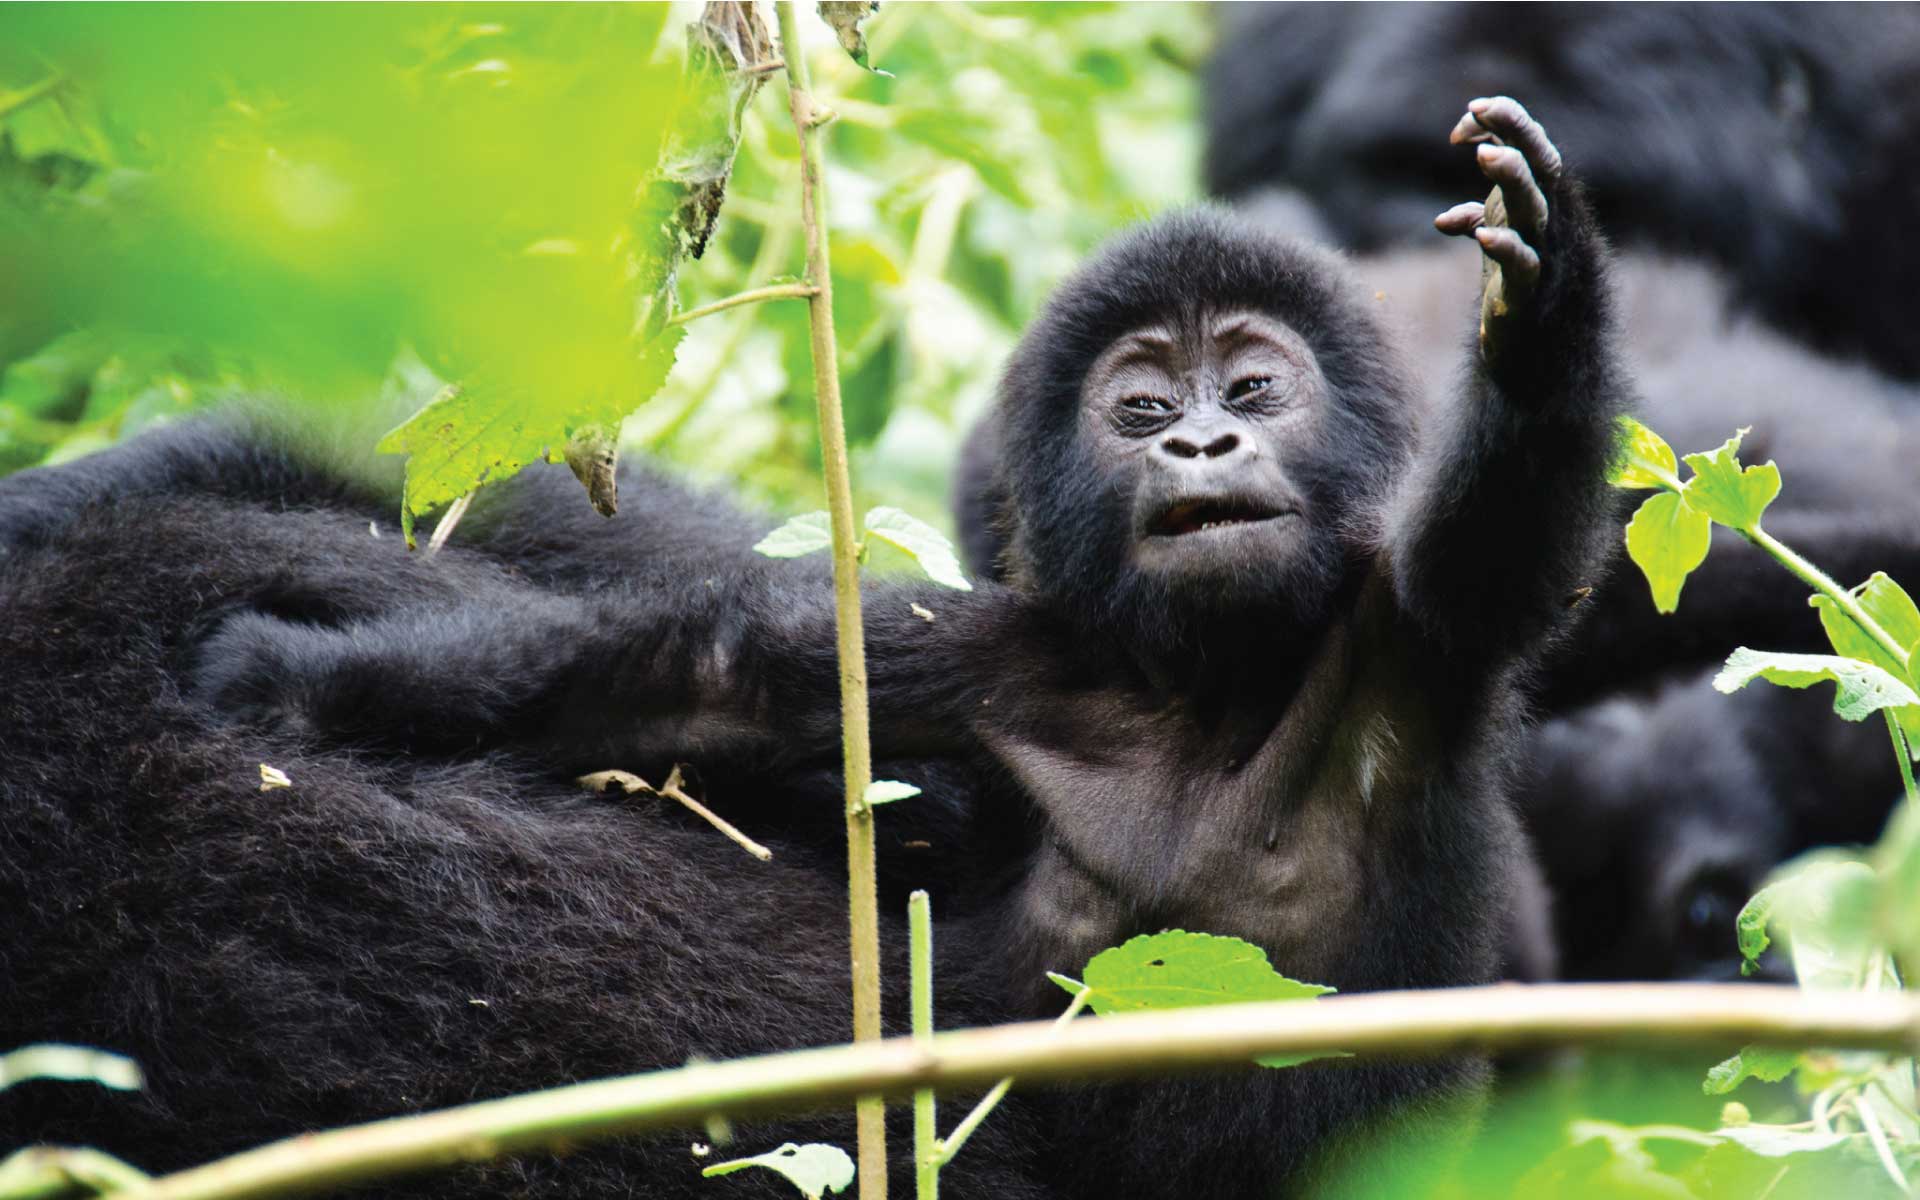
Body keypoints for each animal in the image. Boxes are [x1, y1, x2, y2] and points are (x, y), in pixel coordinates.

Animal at [0, 98, 1620, 1190]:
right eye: (1146, 410)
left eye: (1258, 391)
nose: (1206, 442)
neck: (1208, 693)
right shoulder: (996, 659)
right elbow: (716, 688)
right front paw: (297, 678)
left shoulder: (1402, 635)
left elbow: (1499, 534)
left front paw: (1540, 302)